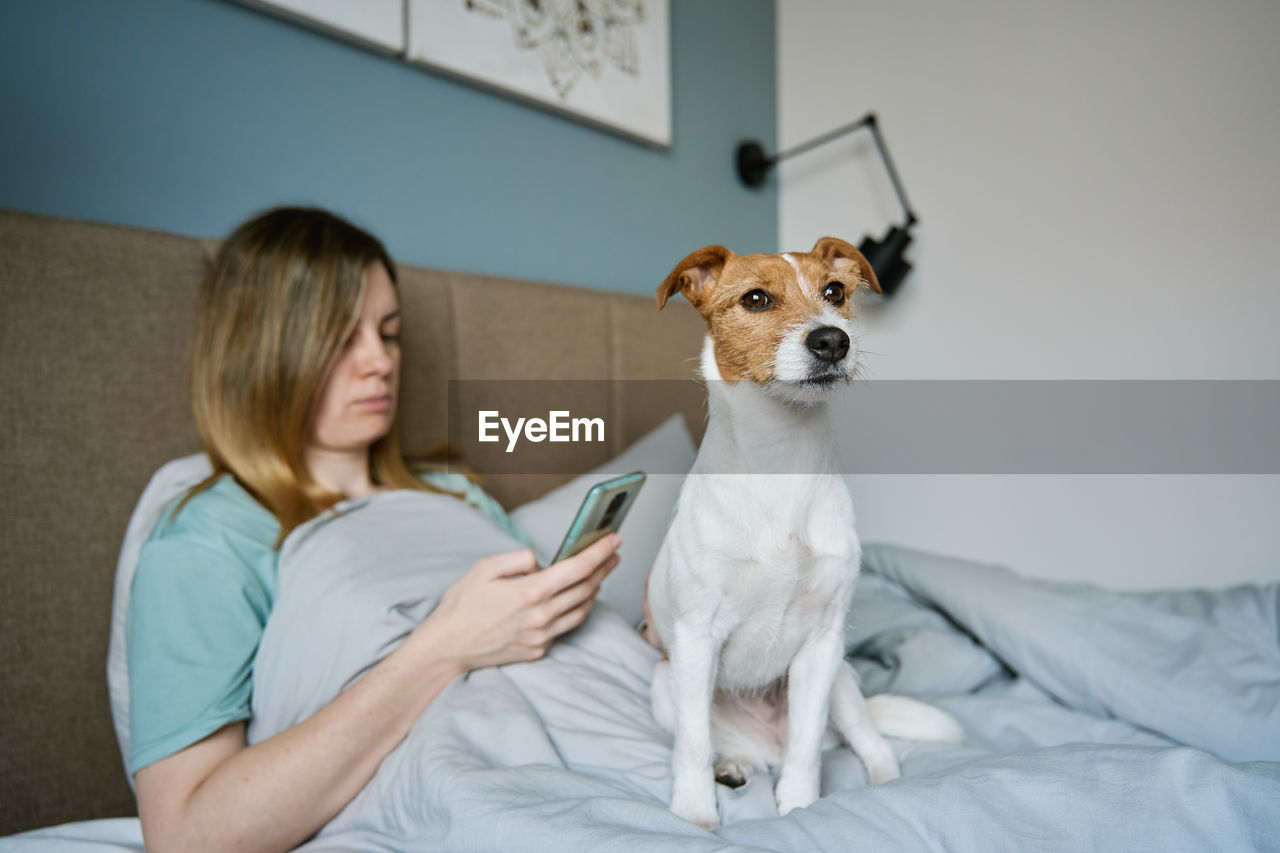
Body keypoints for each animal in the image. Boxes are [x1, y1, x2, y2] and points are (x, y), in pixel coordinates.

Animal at [645, 236, 962, 824]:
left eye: (834, 292)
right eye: (756, 298)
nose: (832, 340)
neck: (781, 459)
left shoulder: (821, 644)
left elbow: (807, 745)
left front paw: (799, 807)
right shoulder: (696, 639)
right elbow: (693, 743)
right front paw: (695, 812)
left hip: (841, 680)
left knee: (865, 742)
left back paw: (885, 783)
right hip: (664, 682)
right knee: (722, 743)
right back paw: (734, 767)